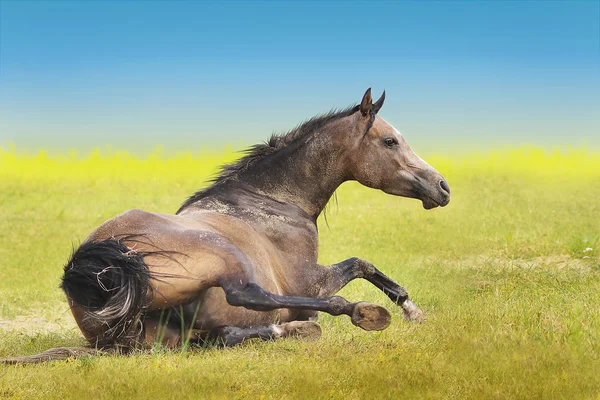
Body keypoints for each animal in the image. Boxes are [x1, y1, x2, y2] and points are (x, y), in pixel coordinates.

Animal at [1, 89, 450, 364]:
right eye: (390, 141)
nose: (442, 187)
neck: (272, 201)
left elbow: (365, 266)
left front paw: (412, 310)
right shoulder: (310, 282)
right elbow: (361, 264)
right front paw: (407, 310)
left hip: (170, 337)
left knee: (229, 334)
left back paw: (289, 329)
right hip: (222, 255)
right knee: (247, 295)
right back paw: (357, 312)